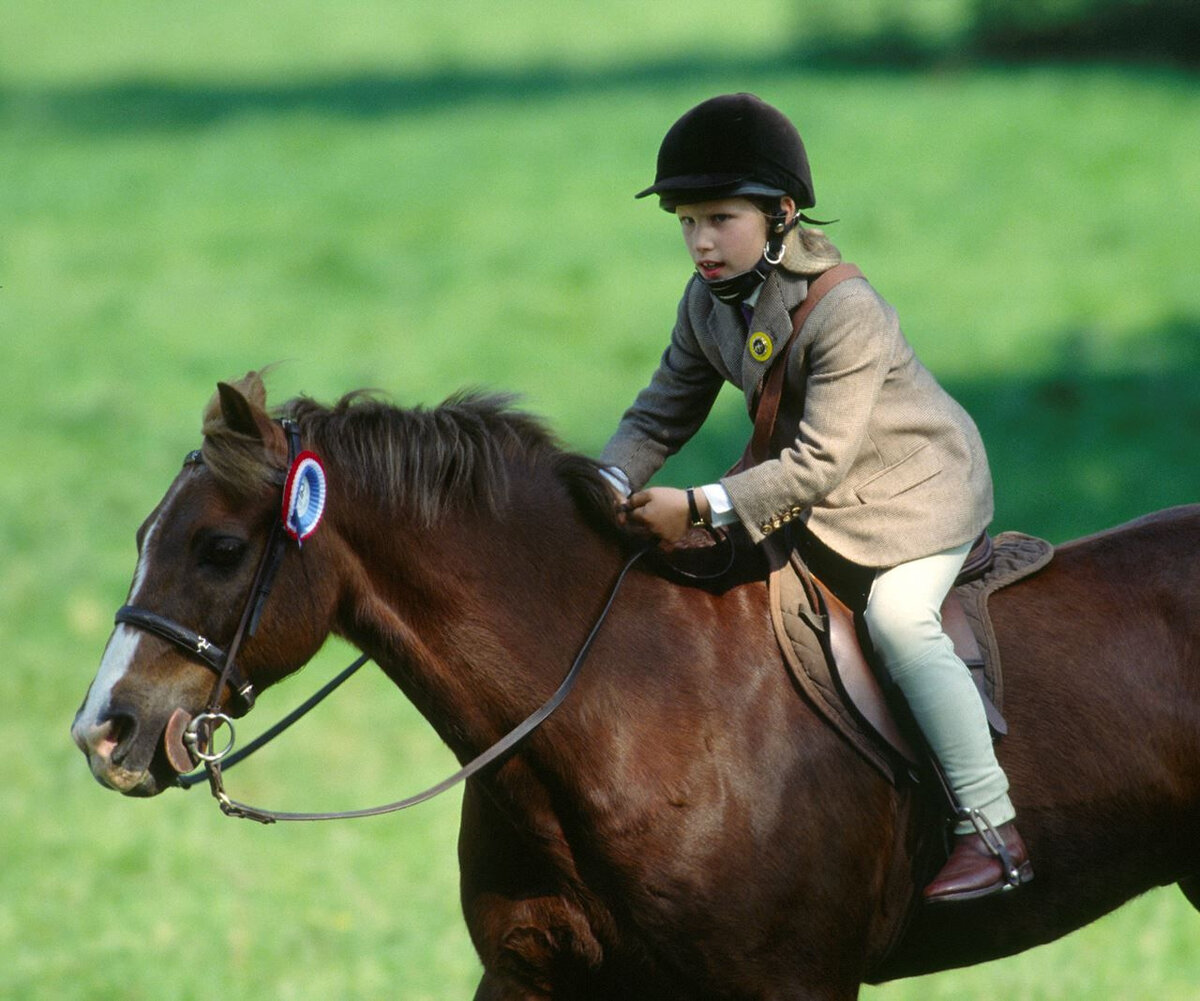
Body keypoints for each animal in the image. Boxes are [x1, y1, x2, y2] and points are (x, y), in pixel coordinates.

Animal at [72, 369, 1200, 993]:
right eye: (139, 538)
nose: (105, 730)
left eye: (220, 547)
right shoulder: (531, 971)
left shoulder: (789, 980)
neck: (614, 713)